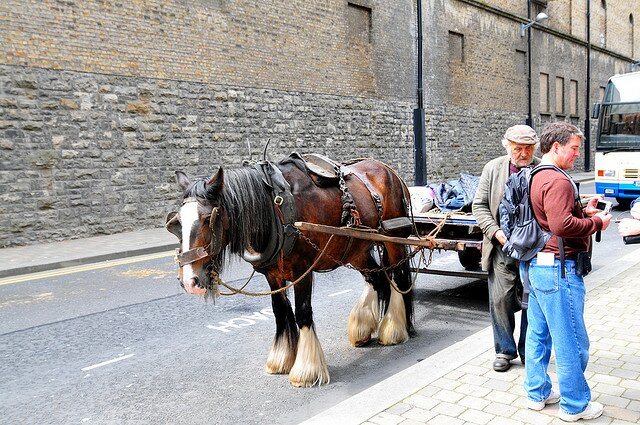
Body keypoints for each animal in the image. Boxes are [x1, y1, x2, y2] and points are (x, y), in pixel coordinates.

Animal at [165, 154, 416, 386]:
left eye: (208, 218)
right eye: (177, 223)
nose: (189, 281)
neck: (276, 209)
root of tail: (387, 170)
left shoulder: (302, 270)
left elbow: (302, 312)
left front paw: (306, 370)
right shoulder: (273, 274)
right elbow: (280, 311)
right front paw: (282, 358)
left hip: (394, 239)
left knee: (398, 279)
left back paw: (396, 328)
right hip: (357, 248)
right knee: (376, 276)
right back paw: (363, 328)